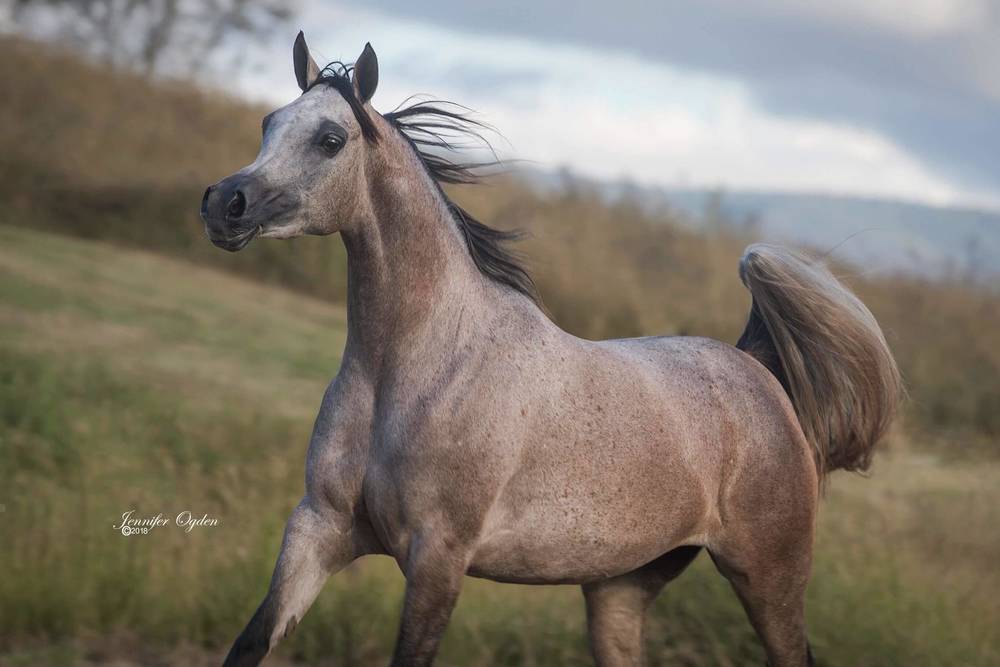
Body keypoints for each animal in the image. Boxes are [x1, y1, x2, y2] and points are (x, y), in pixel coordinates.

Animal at [200, 32, 902, 667]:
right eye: (269, 123)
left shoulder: (438, 558)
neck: (415, 370)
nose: (224, 204)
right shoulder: (318, 529)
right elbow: (251, 642)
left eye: (330, 139)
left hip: (769, 577)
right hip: (620, 587)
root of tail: (756, 372)